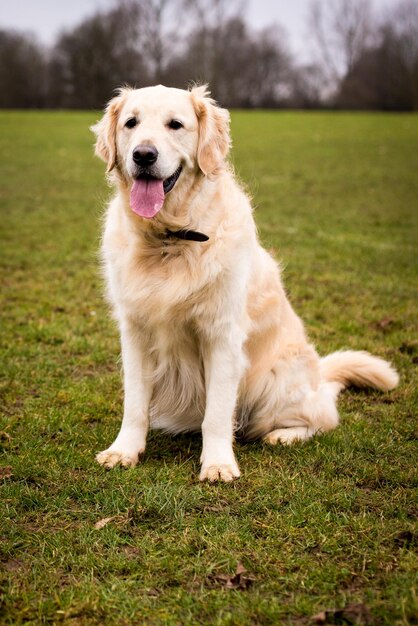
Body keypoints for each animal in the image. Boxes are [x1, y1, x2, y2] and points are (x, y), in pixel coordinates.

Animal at [91, 85, 398, 480]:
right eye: (131, 123)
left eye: (175, 124)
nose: (143, 155)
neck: (169, 240)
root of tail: (318, 376)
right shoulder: (135, 331)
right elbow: (134, 404)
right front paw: (124, 451)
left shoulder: (222, 335)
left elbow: (217, 413)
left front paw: (218, 463)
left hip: (277, 381)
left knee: (323, 416)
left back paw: (285, 435)